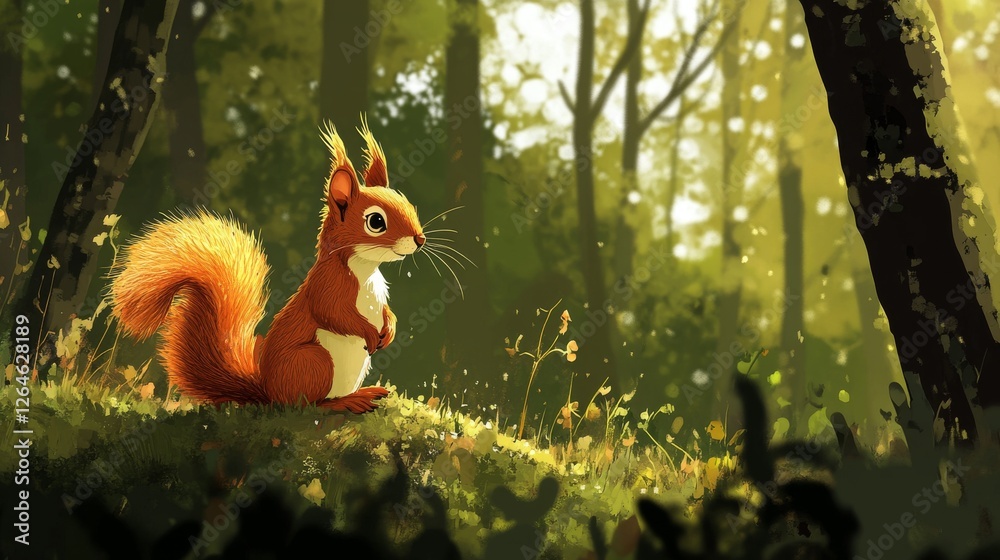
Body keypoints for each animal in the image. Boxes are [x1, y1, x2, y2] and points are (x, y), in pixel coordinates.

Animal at [109, 119, 424, 413]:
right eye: (376, 221)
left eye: (408, 204)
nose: (420, 239)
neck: (365, 269)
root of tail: (268, 392)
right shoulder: (327, 285)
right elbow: (334, 313)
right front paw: (370, 332)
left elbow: (385, 311)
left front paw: (390, 327)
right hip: (313, 362)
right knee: (306, 405)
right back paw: (346, 402)